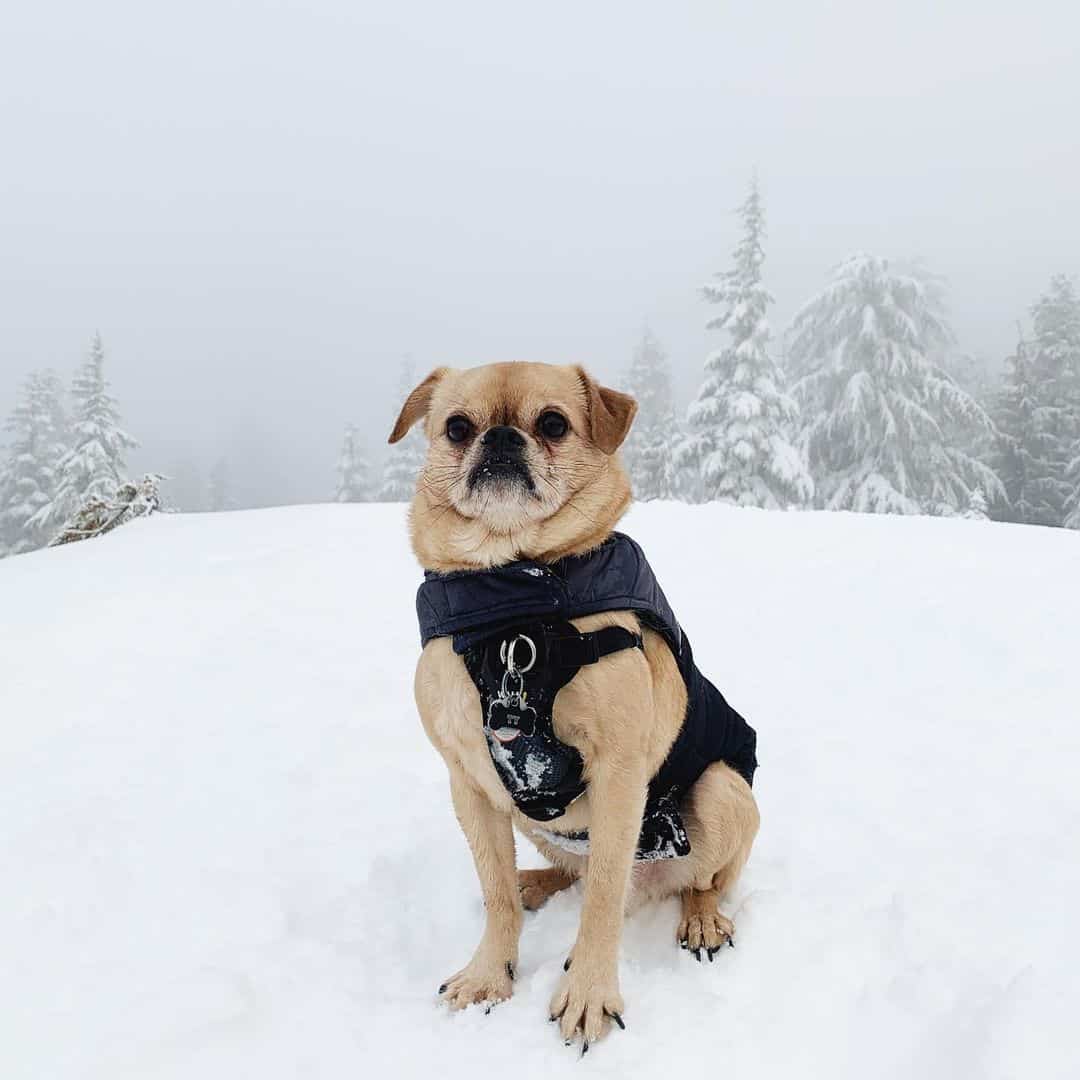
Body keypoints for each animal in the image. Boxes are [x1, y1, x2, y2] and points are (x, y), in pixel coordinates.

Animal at [388, 360, 760, 1045]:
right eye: (457, 428)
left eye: (554, 423)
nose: (501, 438)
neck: (513, 599)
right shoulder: (470, 783)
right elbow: (496, 894)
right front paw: (490, 974)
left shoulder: (617, 776)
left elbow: (604, 897)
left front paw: (589, 993)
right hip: (529, 818)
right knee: (565, 872)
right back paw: (535, 881)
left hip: (723, 791)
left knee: (698, 883)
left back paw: (700, 919)